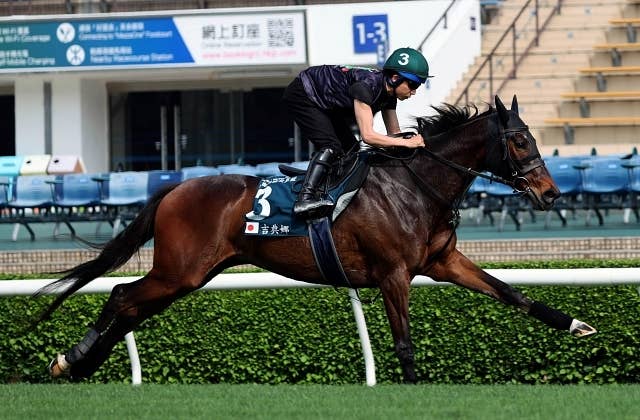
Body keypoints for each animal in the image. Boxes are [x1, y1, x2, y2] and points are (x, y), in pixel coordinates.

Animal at [36, 96, 596, 384]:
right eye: (519, 140)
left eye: (534, 137)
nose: (550, 193)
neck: (416, 186)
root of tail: (175, 187)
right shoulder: (393, 274)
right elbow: (404, 343)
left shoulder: (443, 263)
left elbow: (512, 294)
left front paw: (577, 326)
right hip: (180, 270)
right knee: (121, 295)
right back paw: (71, 360)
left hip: (190, 275)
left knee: (132, 307)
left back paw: (78, 362)